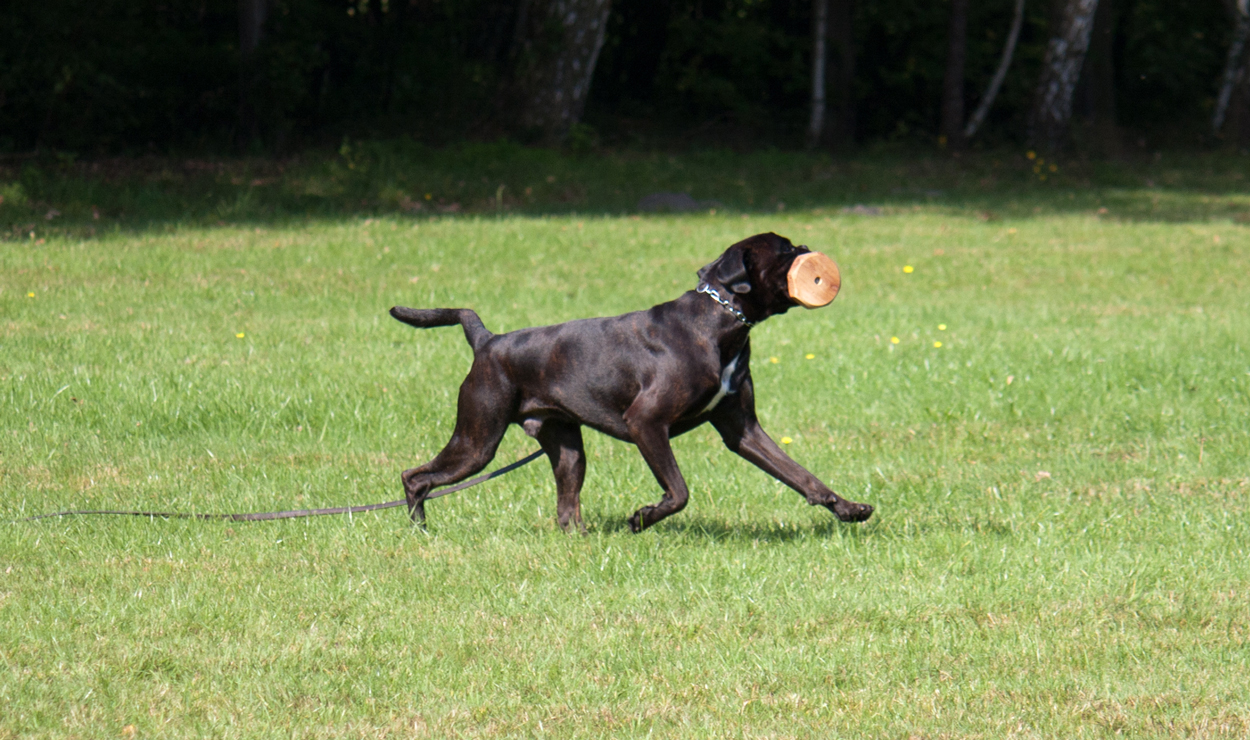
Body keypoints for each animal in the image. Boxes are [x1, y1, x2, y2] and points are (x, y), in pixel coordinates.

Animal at [395, 232, 875, 532]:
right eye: (785, 249)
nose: (808, 247)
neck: (719, 320)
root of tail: (487, 340)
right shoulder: (647, 423)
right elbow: (678, 491)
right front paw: (642, 518)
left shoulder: (744, 431)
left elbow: (802, 476)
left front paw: (849, 509)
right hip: (477, 442)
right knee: (415, 477)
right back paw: (421, 531)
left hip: (566, 450)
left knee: (567, 509)